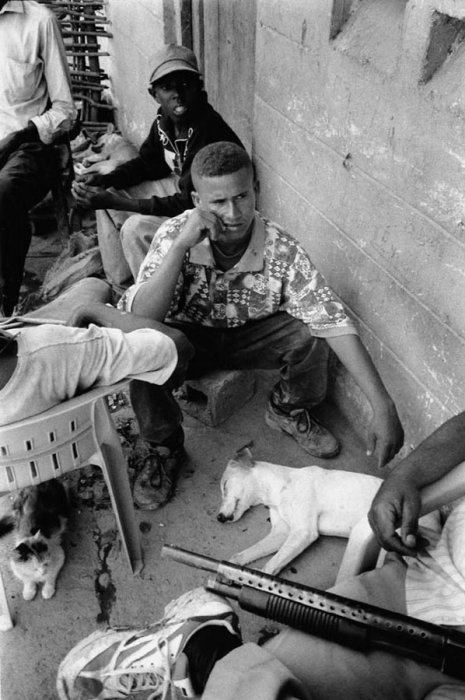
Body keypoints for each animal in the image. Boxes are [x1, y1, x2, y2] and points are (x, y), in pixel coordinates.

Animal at [216, 448, 382, 576]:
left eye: (224, 486)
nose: (219, 518)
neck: (278, 489)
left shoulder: (303, 532)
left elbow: (269, 567)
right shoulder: (281, 533)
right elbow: (243, 554)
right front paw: (229, 566)